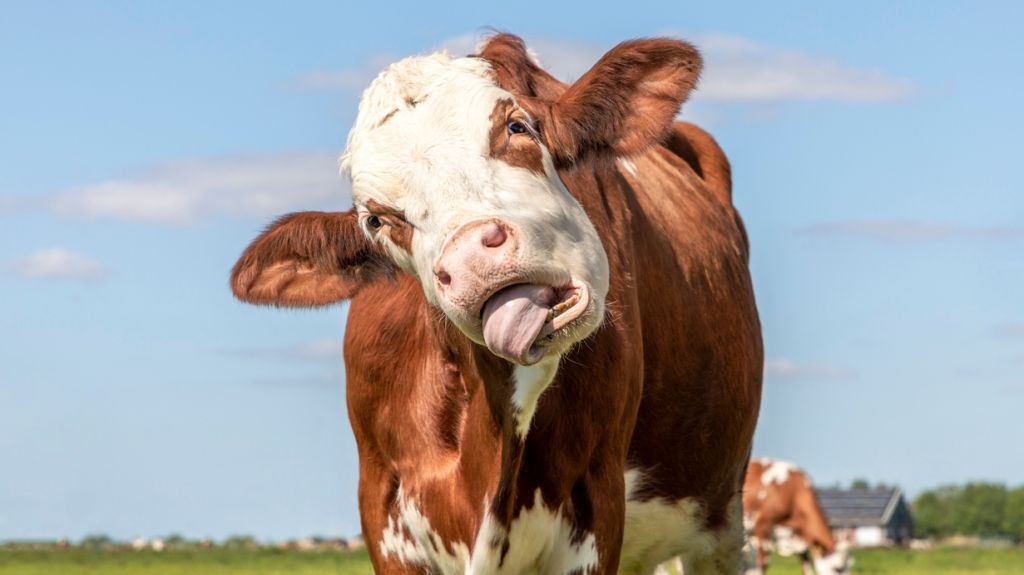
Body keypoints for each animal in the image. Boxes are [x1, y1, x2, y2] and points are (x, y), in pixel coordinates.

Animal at [230, 33, 763, 574]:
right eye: (376, 220)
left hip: (722, 513)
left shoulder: (597, 498)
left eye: (516, 126)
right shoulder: (383, 508)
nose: (471, 260)